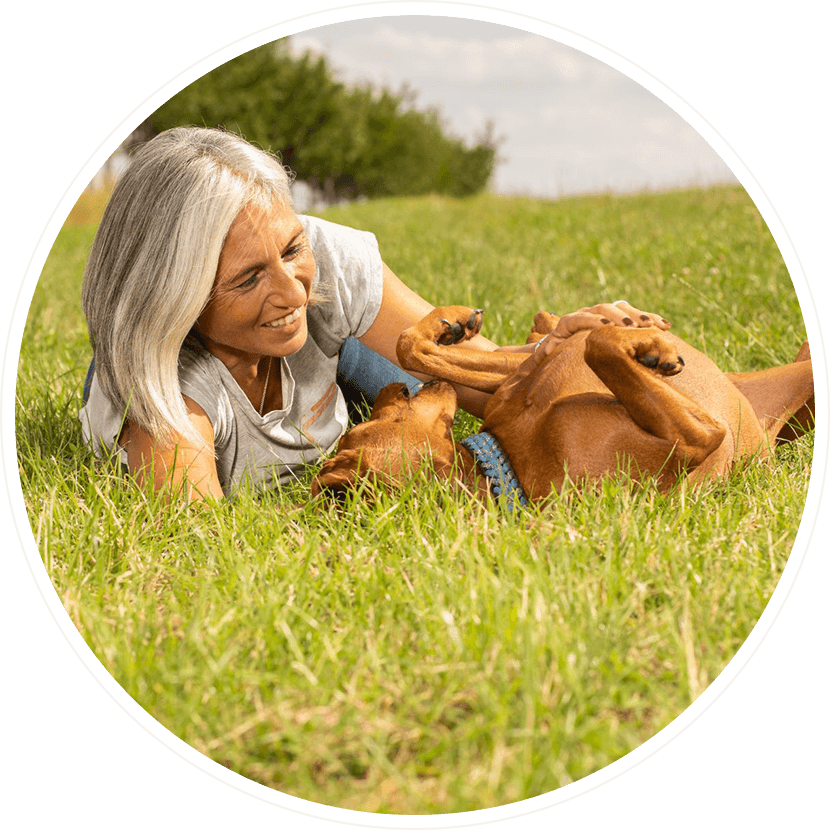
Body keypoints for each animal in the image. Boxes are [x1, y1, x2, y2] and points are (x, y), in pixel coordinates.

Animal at [316, 308, 816, 508]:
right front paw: (650, 347)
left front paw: (450, 324)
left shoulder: (515, 375)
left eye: (363, 428)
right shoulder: (699, 437)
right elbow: (600, 344)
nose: (389, 391)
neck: (508, 461)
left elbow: (410, 345)